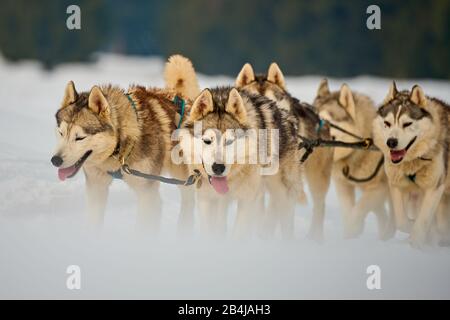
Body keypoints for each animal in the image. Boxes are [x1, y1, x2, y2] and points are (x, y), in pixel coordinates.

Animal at [51, 55, 199, 230]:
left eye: (79, 137)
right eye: (61, 133)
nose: (55, 160)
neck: (120, 147)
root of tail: (181, 97)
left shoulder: (148, 194)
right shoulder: (96, 187)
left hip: (184, 177)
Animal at [174, 86, 304, 239]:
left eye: (229, 142)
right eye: (207, 141)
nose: (218, 168)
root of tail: (283, 113)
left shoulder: (247, 200)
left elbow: (238, 234)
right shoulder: (206, 199)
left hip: (282, 194)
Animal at [312, 79, 394, 240]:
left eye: (326, 121)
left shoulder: (379, 188)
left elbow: (359, 209)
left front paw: (353, 229)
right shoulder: (343, 185)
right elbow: (348, 210)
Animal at [372, 83, 450, 248]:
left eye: (407, 124)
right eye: (387, 123)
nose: (391, 142)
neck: (412, 162)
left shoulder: (434, 187)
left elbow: (423, 221)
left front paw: (417, 243)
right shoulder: (397, 185)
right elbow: (401, 221)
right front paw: (412, 228)